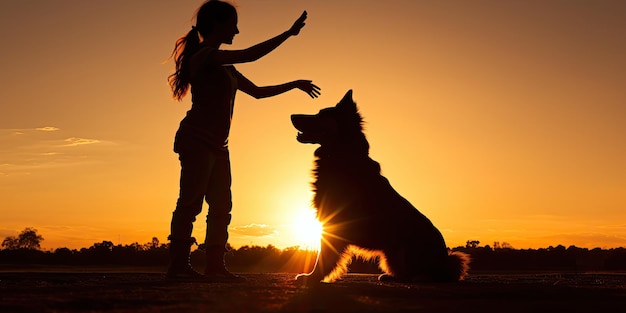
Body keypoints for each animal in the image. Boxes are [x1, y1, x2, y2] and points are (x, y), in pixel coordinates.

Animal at [290, 90, 466, 282]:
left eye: (321, 114)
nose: (292, 116)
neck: (343, 154)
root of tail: (445, 262)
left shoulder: (335, 221)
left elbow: (325, 256)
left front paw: (313, 276)